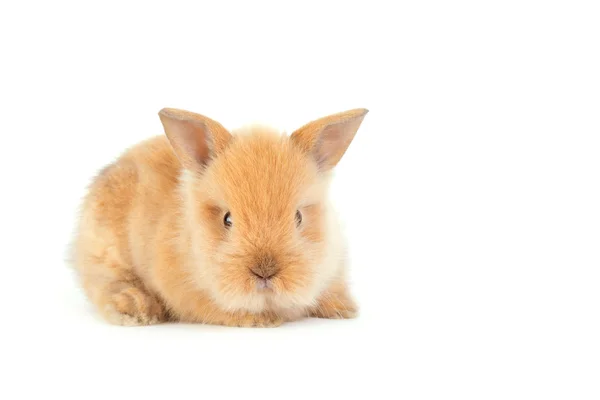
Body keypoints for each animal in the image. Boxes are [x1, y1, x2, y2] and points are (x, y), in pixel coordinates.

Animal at [72, 107, 368, 328]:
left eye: (298, 217)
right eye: (227, 219)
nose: (264, 271)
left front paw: (345, 309)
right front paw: (264, 320)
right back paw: (136, 307)